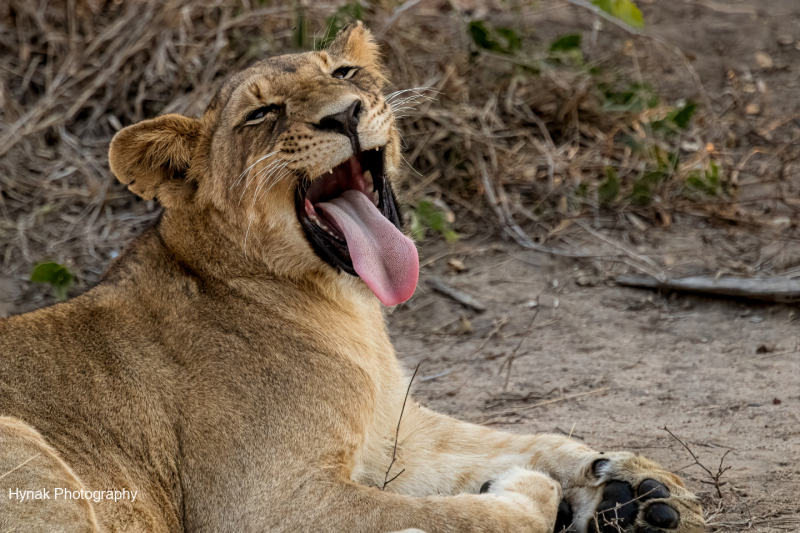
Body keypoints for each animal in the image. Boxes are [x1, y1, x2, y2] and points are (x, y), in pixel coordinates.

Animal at [0, 22, 700, 528]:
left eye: (343, 73)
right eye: (262, 115)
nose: (344, 113)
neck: (345, 307)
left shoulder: (392, 429)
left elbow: (500, 439)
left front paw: (636, 488)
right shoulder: (266, 503)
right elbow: (452, 516)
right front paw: (546, 494)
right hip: (29, 454)